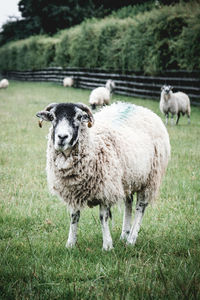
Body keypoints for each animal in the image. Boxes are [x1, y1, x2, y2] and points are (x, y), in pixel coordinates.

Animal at [36, 101, 170, 251]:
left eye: (79, 117)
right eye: (52, 117)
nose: (62, 137)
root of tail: (138, 107)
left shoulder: (105, 189)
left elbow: (103, 217)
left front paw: (107, 245)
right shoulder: (74, 190)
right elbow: (74, 216)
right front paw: (70, 244)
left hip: (149, 179)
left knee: (140, 208)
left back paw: (131, 239)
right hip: (126, 179)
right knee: (128, 204)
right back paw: (124, 235)